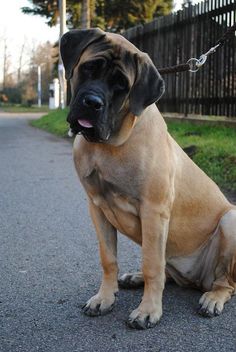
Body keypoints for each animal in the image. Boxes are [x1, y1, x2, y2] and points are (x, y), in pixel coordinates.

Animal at [60, 28, 236, 328]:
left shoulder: (153, 211)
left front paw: (148, 310)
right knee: (169, 274)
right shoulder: (96, 207)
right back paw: (135, 278)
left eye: (122, 84)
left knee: (225, 283)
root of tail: (197, 279)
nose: (92, 103)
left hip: (230, 221)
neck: (109, 146)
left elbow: (152, 263)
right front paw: (104, 298)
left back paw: (212, 298)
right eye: (89, 67)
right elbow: (108, 258)